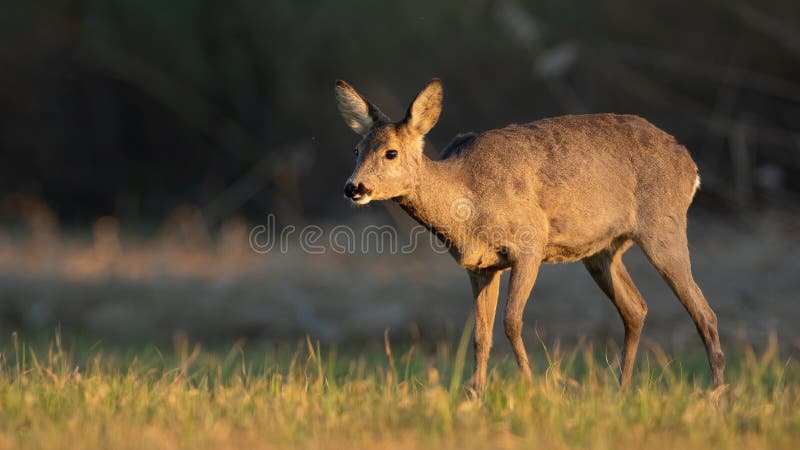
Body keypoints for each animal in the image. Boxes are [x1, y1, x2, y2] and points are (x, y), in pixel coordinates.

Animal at [332, 78, 724, 394]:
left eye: (391, 152)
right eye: (356, 150)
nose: (354, 188)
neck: (466, 198)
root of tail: (690, 164)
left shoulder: (529, 244)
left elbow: (511, 322)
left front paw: (533, 388)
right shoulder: (480, 266)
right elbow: (480, 335)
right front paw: (475, 396)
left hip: (663, 226)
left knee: (704, 313)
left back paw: (715, 398)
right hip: (602, 251)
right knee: (636, 308)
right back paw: (623, 391)